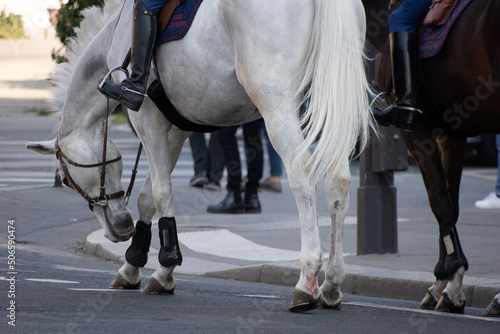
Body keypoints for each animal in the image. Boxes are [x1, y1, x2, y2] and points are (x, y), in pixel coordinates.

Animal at [26, 0, 372, 314]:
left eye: (66, 180)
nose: (121, 227)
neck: (116, 35)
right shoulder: (176, 130)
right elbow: (148, 198)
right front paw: (136, 265)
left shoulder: (147, 122)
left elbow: (161, 193)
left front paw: (165, 265)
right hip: (330, 106)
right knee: (338, 181)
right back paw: (331, 284)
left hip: (278, 106)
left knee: (302, 173)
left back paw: (307, 281)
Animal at [362, 0, 500, 316]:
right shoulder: (452, 134)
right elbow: (452, 202)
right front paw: (443, 280)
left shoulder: (415, 131)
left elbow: (439, 199)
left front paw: (452, 280)